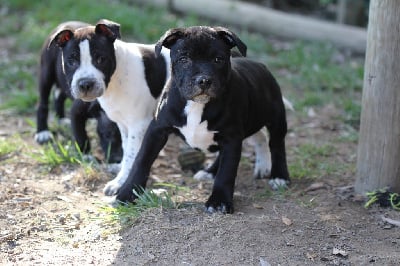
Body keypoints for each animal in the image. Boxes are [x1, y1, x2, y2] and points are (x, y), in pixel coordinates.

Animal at [35, 20, 122, 163]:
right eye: (71, 61)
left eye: (101, 59)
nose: (86, 84)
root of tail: (64, 23)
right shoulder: (76, 112)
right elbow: (81, 135)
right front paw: (86, 155)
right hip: (46, 73)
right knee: (42, 102)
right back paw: (42, 132)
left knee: (59, 96)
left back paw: (61, 120)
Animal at [47, 18, 172, 193]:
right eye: (71, 61)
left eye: (101, 59)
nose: (86, 84)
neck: (116, 79)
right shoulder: (124, 123)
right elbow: (127, 150)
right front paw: (120, 171)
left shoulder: (138, 125)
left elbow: (132, 155)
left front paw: (120, 182)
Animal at [116, 26, 290, 214]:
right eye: (184, 59)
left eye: (218, 59)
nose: (204, 80)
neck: (196, 105)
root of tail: (260, 65)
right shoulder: (157, 130)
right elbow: (141, 161)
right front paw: (126, 193)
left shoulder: (231, 137)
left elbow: (227, 171)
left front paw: (219, 201)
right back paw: (210, 172)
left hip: (276, 118)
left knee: (277, 145)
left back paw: (279, 176)